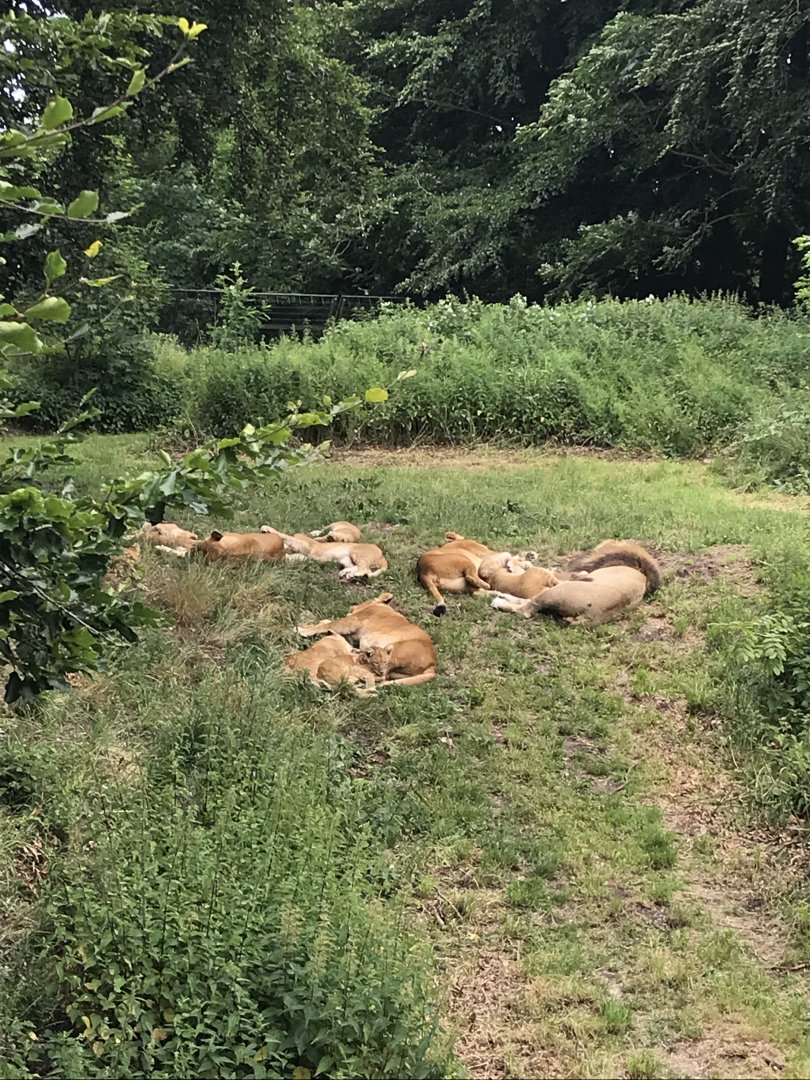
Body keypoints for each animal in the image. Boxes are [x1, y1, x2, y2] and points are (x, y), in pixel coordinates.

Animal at [298, 593, 437, 687]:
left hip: (391, 650)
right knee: (384, 676)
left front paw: (302, 630)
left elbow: (329, 624)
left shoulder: (351, 622)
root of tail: (433, 665)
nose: (351, 606)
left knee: (381, 675)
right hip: (396, 672)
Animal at [491, 540, 660, 625]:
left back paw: (499, 602)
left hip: (558, 590)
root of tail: (592, 616)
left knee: (526, 608)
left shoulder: (557, 577)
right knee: (528, 602)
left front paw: (514, 564)